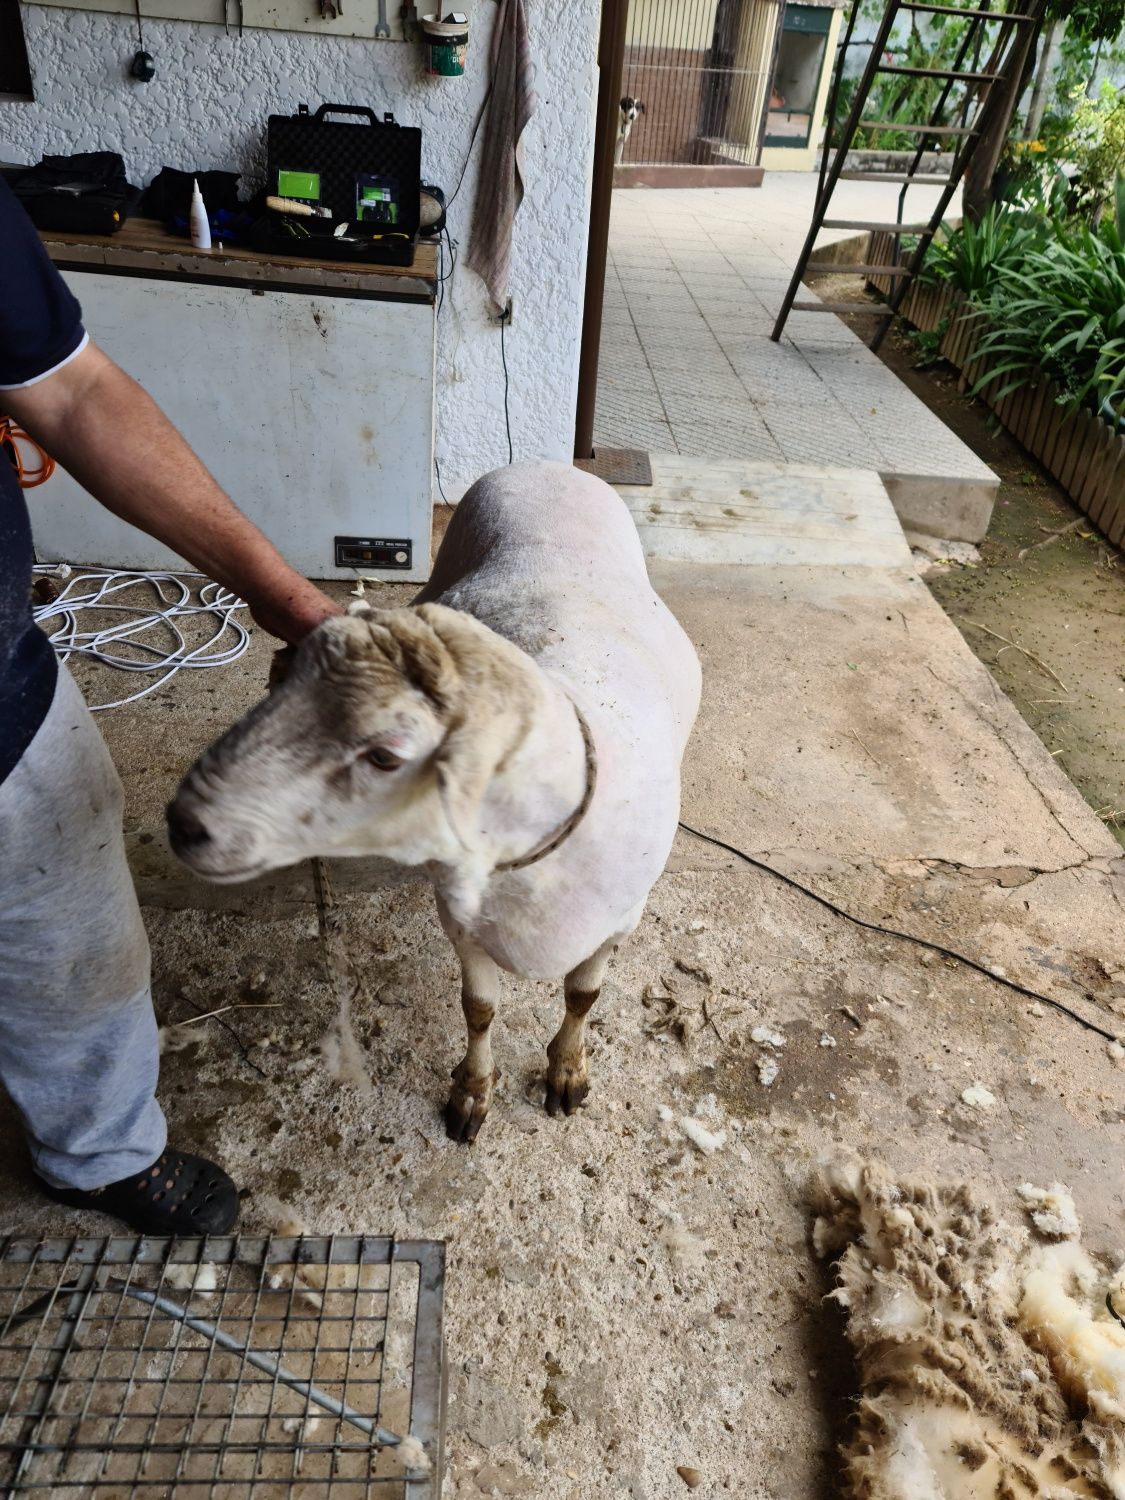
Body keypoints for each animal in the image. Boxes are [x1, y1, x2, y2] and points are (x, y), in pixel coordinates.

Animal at [167, 462, 702, 1140]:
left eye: (385, 755)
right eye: (277, 693)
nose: (185, 824)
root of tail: (541, 464)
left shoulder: (617, 924)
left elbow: (583, 997)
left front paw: (566, 1072)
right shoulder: (462, 924)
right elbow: (479, 1008)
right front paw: (471, 1092)